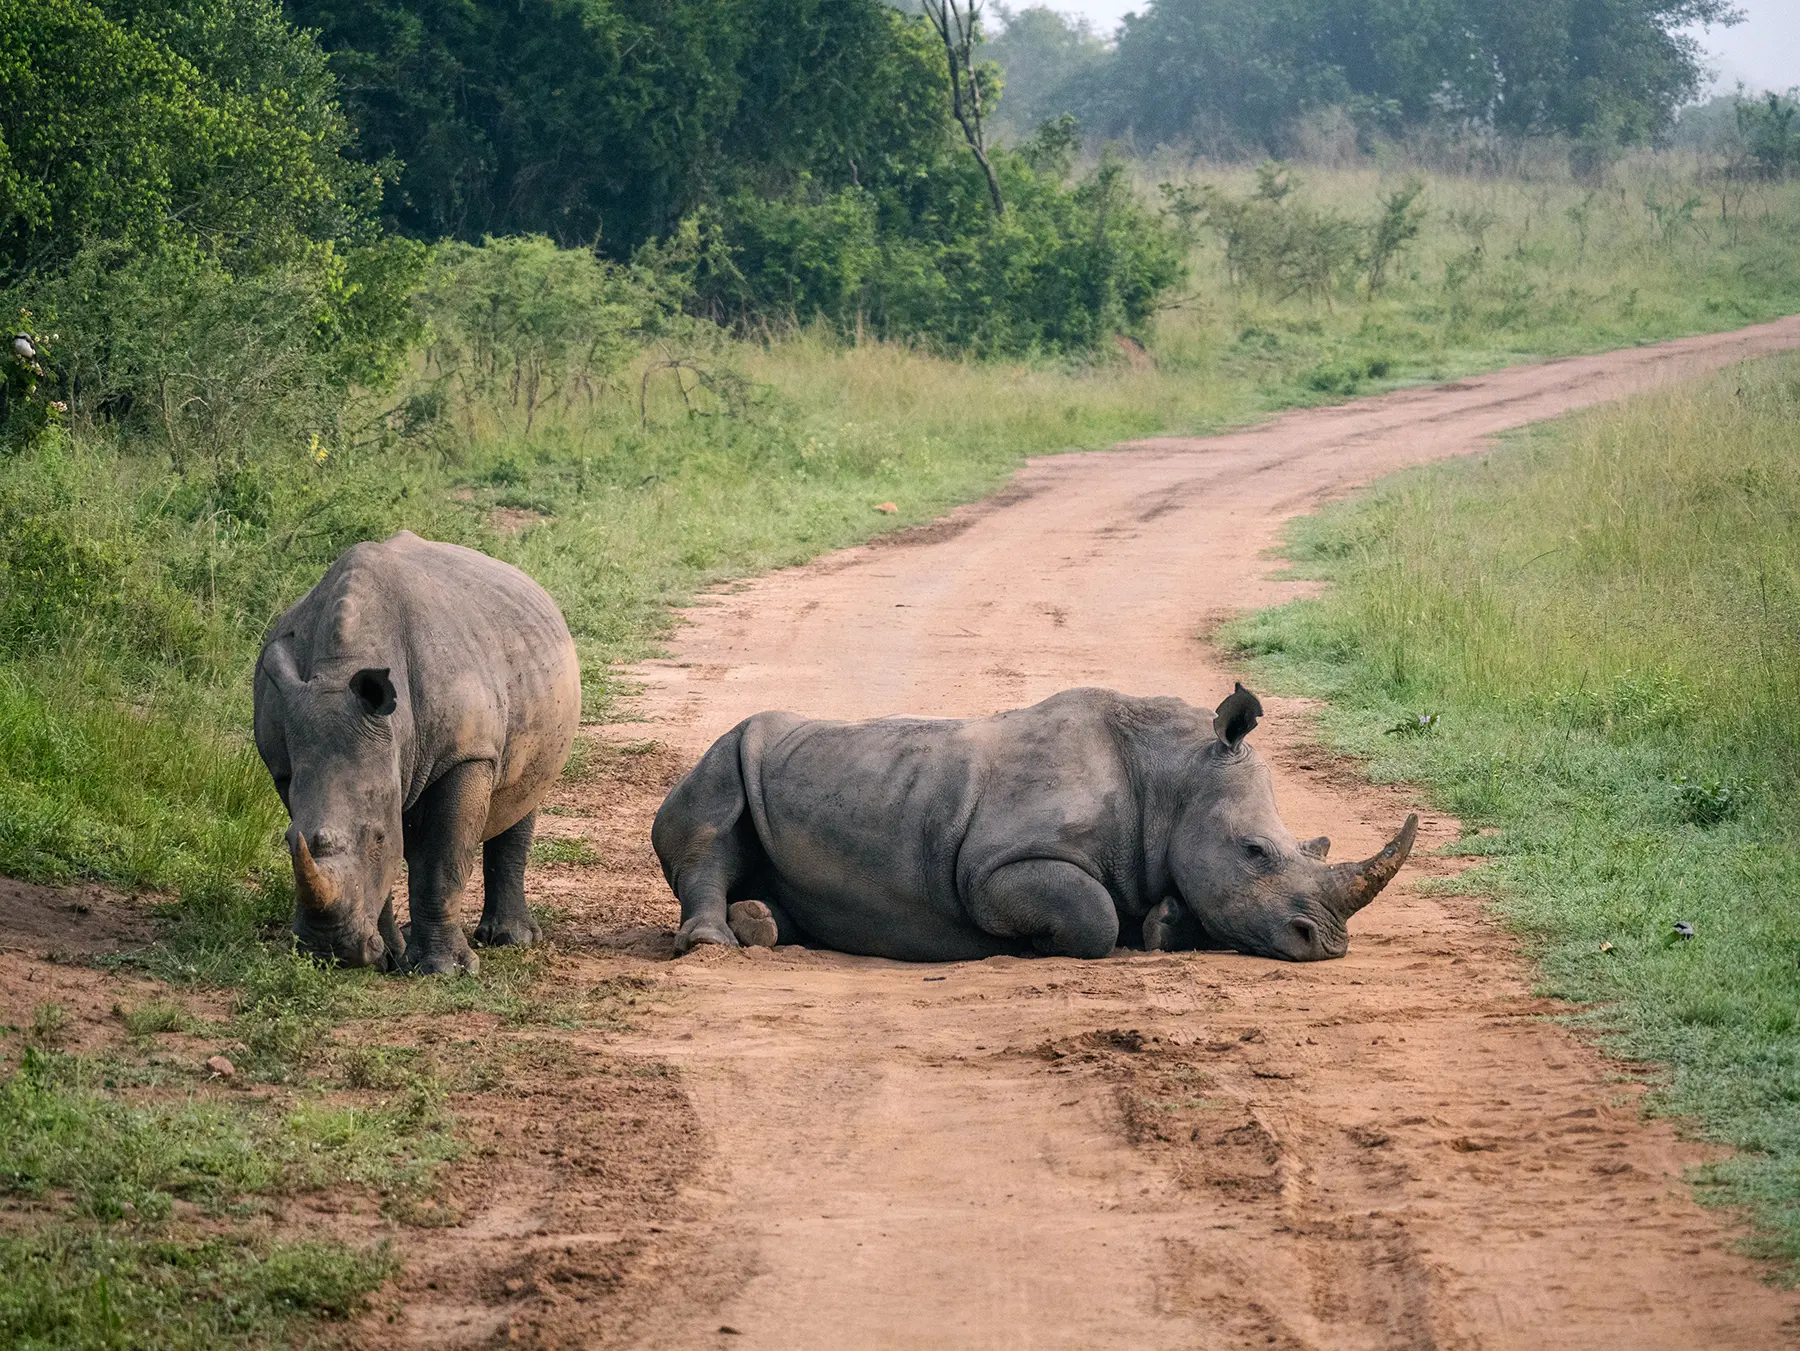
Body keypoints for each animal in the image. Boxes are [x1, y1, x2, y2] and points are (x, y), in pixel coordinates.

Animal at [253, 532, 580, 974]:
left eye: (376, 837)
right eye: (287, 840)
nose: (328, 952)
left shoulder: (464, 755)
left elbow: (441, 860)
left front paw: (445, 970)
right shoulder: (286, 766)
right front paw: (389, 957)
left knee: (523, 795)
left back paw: (512, 939)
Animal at [652, 685, 1416, 962]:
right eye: (1255, 850)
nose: (1328, 944)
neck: (1168, 778)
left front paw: (1165, 924)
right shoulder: (995, 868)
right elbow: (1093, 915)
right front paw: (1030, 945)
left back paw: (762, 927)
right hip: (726, 750)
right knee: (710, 830)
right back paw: (716, 945)